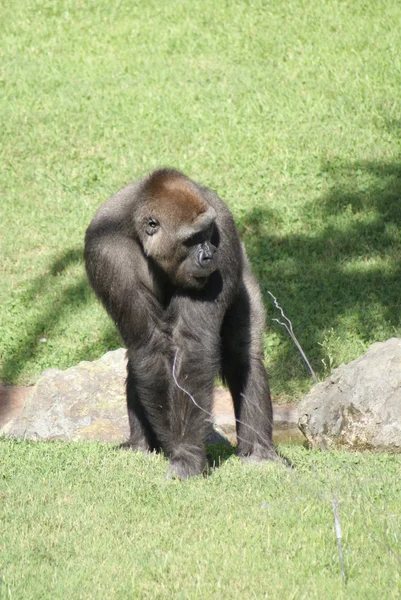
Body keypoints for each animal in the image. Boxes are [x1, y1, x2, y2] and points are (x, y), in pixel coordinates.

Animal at [84, 169, 276, 478]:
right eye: (191, 239)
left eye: (206, 234)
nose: (209, 255)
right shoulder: (107, 251)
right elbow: (150, 346)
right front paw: (181, 450)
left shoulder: (221, 221)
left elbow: (193, 346)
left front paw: (186, 453)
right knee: (141, 354)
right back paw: (140, 443)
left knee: (242, 350)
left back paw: (259, 452)